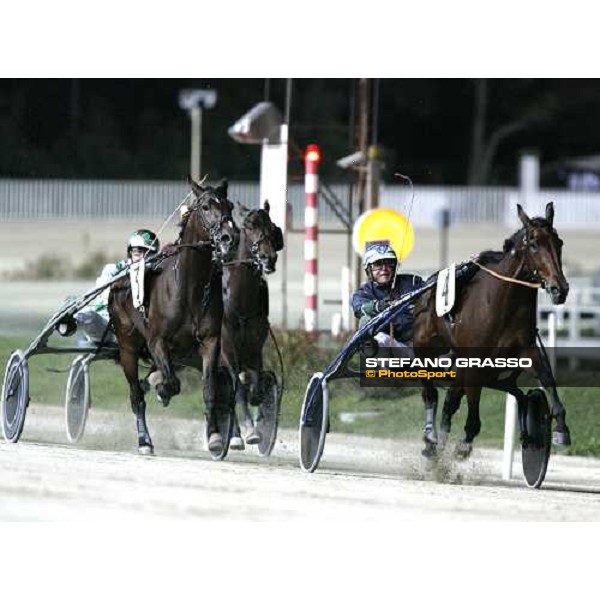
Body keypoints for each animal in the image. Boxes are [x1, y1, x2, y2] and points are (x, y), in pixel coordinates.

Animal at [108, 178, 239, 454]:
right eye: (206, 206)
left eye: (230, 206)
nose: (229, 238)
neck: (189, 287)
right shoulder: (157, 340)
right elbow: (171, 383)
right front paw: (162, 390)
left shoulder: (210, 341)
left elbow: (210, 388)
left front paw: (214, 436)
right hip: (127, 345)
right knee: (136, 395)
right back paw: (144, 440)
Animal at [220, 202, 284, 450]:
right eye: (248, 227)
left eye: (272, 227)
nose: (268, 257)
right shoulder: (226, 347)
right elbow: (236, 387)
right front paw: (249, 430)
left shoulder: (255, 348)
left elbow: (255, 383)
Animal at [414, 204, 568, 458]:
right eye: (534, 244)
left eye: (559, 243)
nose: (560, 289)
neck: (501, 306)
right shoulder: (474, 364)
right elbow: (473, 420)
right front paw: (462, 446)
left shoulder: (526, 350)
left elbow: (548, 379)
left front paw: (561, 429)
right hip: (424, 350)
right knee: (431, 395)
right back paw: (430, 439)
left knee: (451, 401)